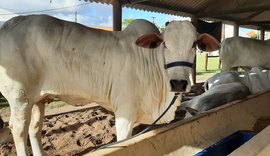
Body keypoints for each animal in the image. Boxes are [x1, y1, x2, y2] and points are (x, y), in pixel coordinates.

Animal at [0, 14, 219, 156]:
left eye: (194, 44)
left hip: (39, 99)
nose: (179, 83)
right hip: (20, 99)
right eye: (165, 44)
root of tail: (6, 26)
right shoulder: (125, 113)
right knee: (19, 130)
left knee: (34, 130)